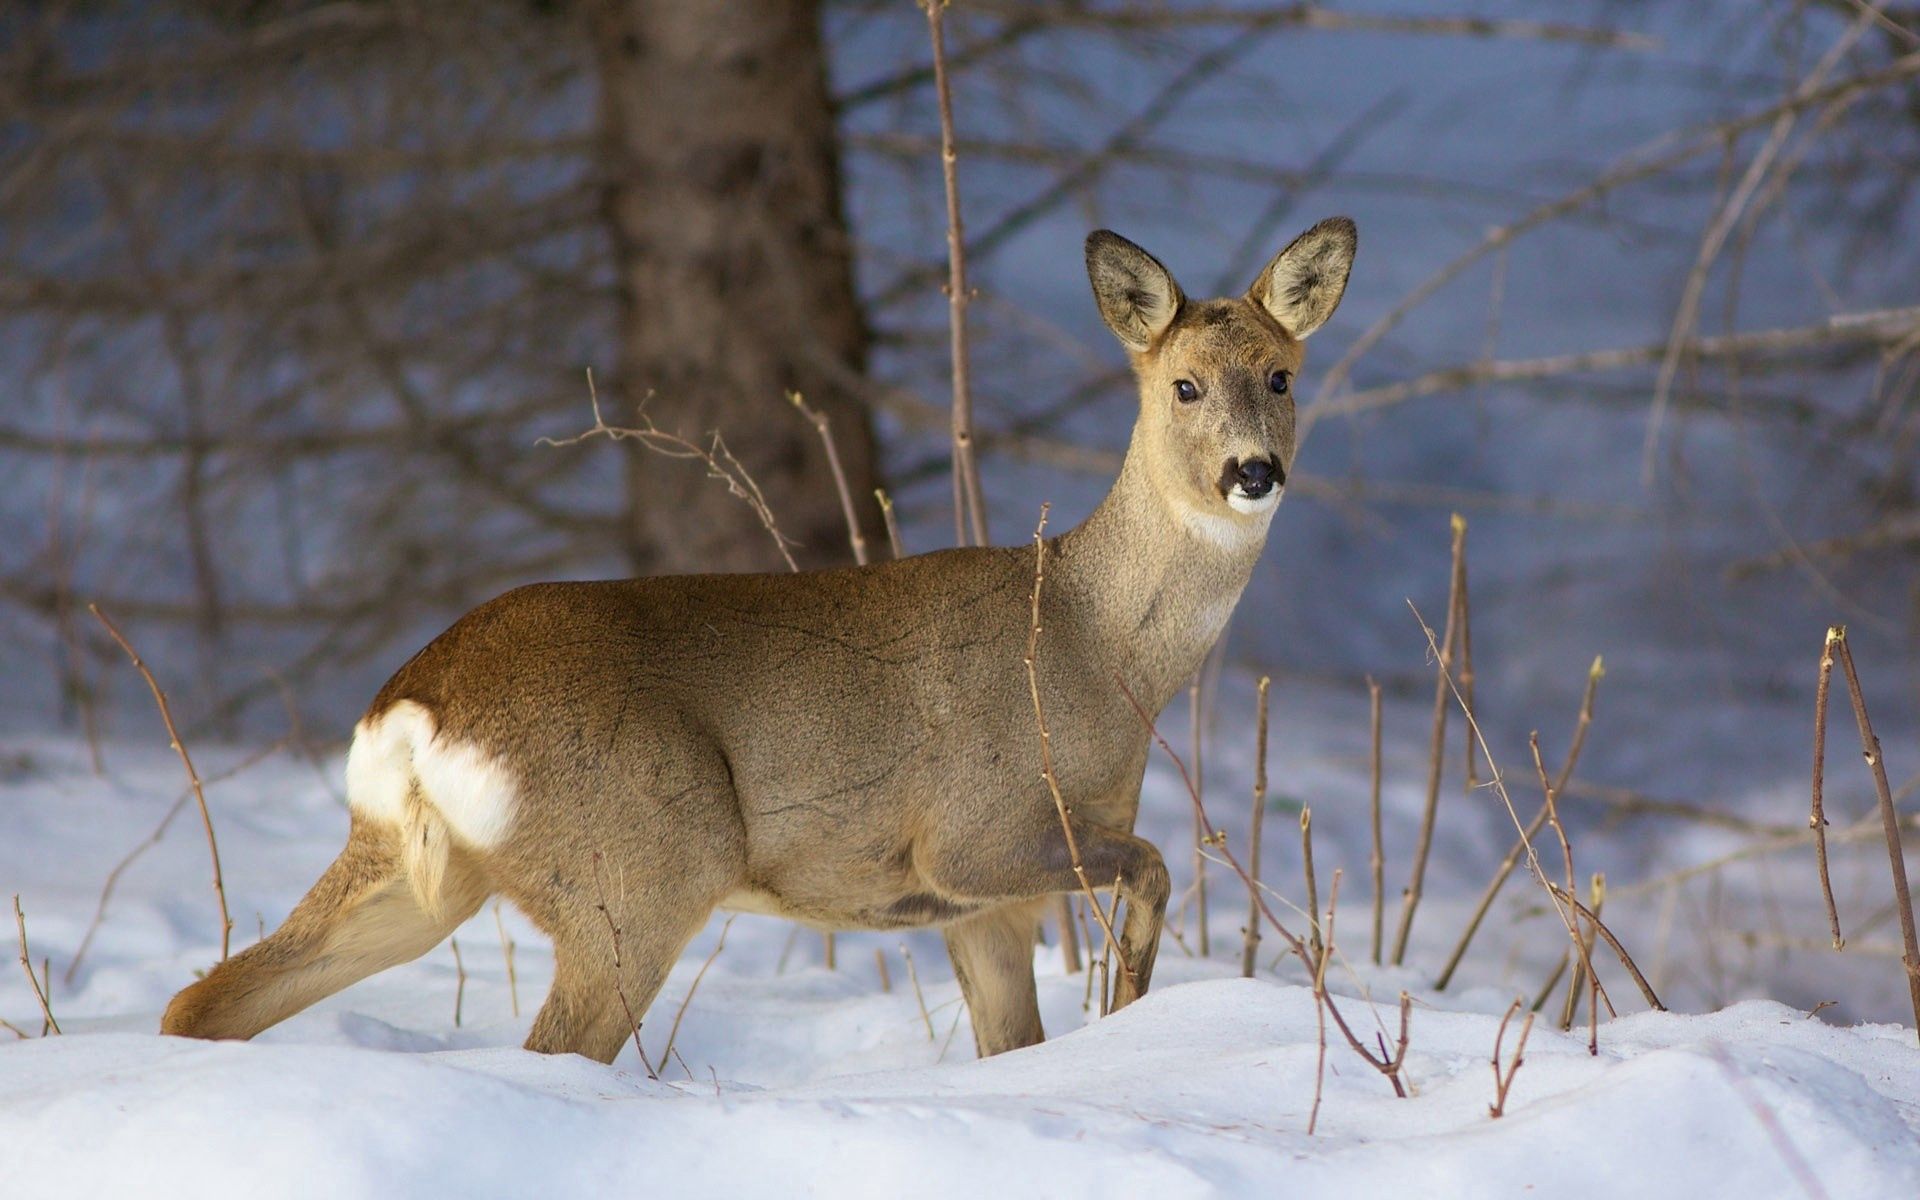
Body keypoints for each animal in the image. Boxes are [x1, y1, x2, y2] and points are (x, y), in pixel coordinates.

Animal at [165, 215, 1359, 1059]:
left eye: (1282, 375)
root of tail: (414, 708)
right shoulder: (973, 834)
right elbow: (1153, 869)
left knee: (207, 998)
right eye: (1183, 384)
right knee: (556, 1043)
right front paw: (1129, 1009)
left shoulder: (980, 908)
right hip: (641, 865)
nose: (1254, 471)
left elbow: (1011, 1043)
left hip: (416, 870)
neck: (1093, 643)